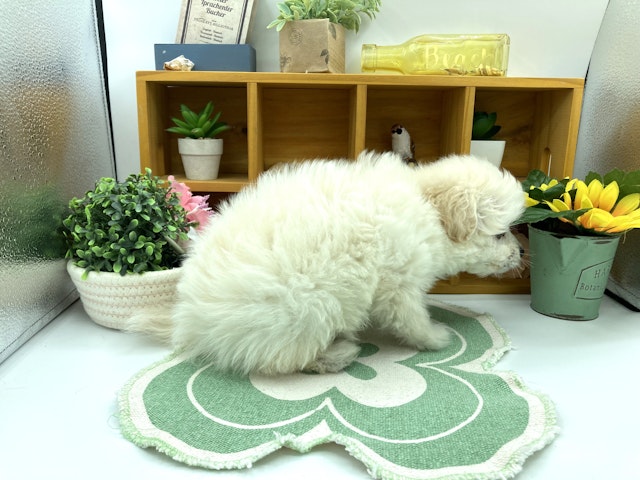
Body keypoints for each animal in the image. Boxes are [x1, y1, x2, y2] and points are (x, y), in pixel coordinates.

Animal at [133, 151, 524, 375]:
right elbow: (412, 319)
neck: (425, 206)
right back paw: (340, 353)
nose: (520, 254)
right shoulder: (399, 285)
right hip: (308, 309)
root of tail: (191, 323)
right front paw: (434, 338)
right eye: (500, 235)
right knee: (289, 360)